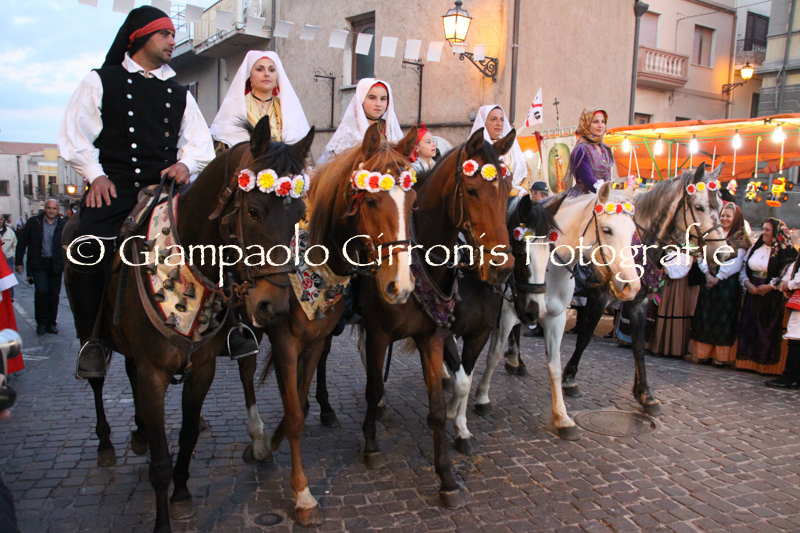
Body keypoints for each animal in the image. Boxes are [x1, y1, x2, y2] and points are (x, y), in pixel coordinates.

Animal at [62, 117, 314, 533]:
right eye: (254, 210)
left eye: (298, 215)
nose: (273, 306)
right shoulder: (154, 374)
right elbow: (162, 462)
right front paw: (164, 517)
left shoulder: (201, 369)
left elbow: (189, 434)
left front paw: (181, 494)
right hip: (88, 328)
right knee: (97, 379)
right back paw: (105, 443)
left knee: (129, 372)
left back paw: (139, 432)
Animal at [258, 122, 419, 527]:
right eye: (371, 201)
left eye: (412, 202)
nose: (400, 286)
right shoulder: (284, 343)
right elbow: (294, 412)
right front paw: (302, 496)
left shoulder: (314, 340)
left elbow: (298, 403)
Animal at [353, 127, 517, 510]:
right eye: (472, 191)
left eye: (507, 190)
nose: (502, 268)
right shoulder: (381, 331)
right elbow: (373, 385)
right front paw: (371, 444)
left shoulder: (442, 334)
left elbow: (452, 394)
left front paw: (449, 468)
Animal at [472, 182, 643, 440]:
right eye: (607, 229)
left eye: (633, 230)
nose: (631, 287)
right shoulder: (506, 314)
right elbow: (493, 354)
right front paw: (481, 397)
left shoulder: (555, 319)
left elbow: (554, 365)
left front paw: (562, 417)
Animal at [554, 163, 728, 414]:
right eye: (699, 207)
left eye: (722, 207)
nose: (723, 254)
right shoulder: (598, 298)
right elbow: (585, 337)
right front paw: (569, 379)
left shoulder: (639, 302)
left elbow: (638, 346)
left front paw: (645, 393)